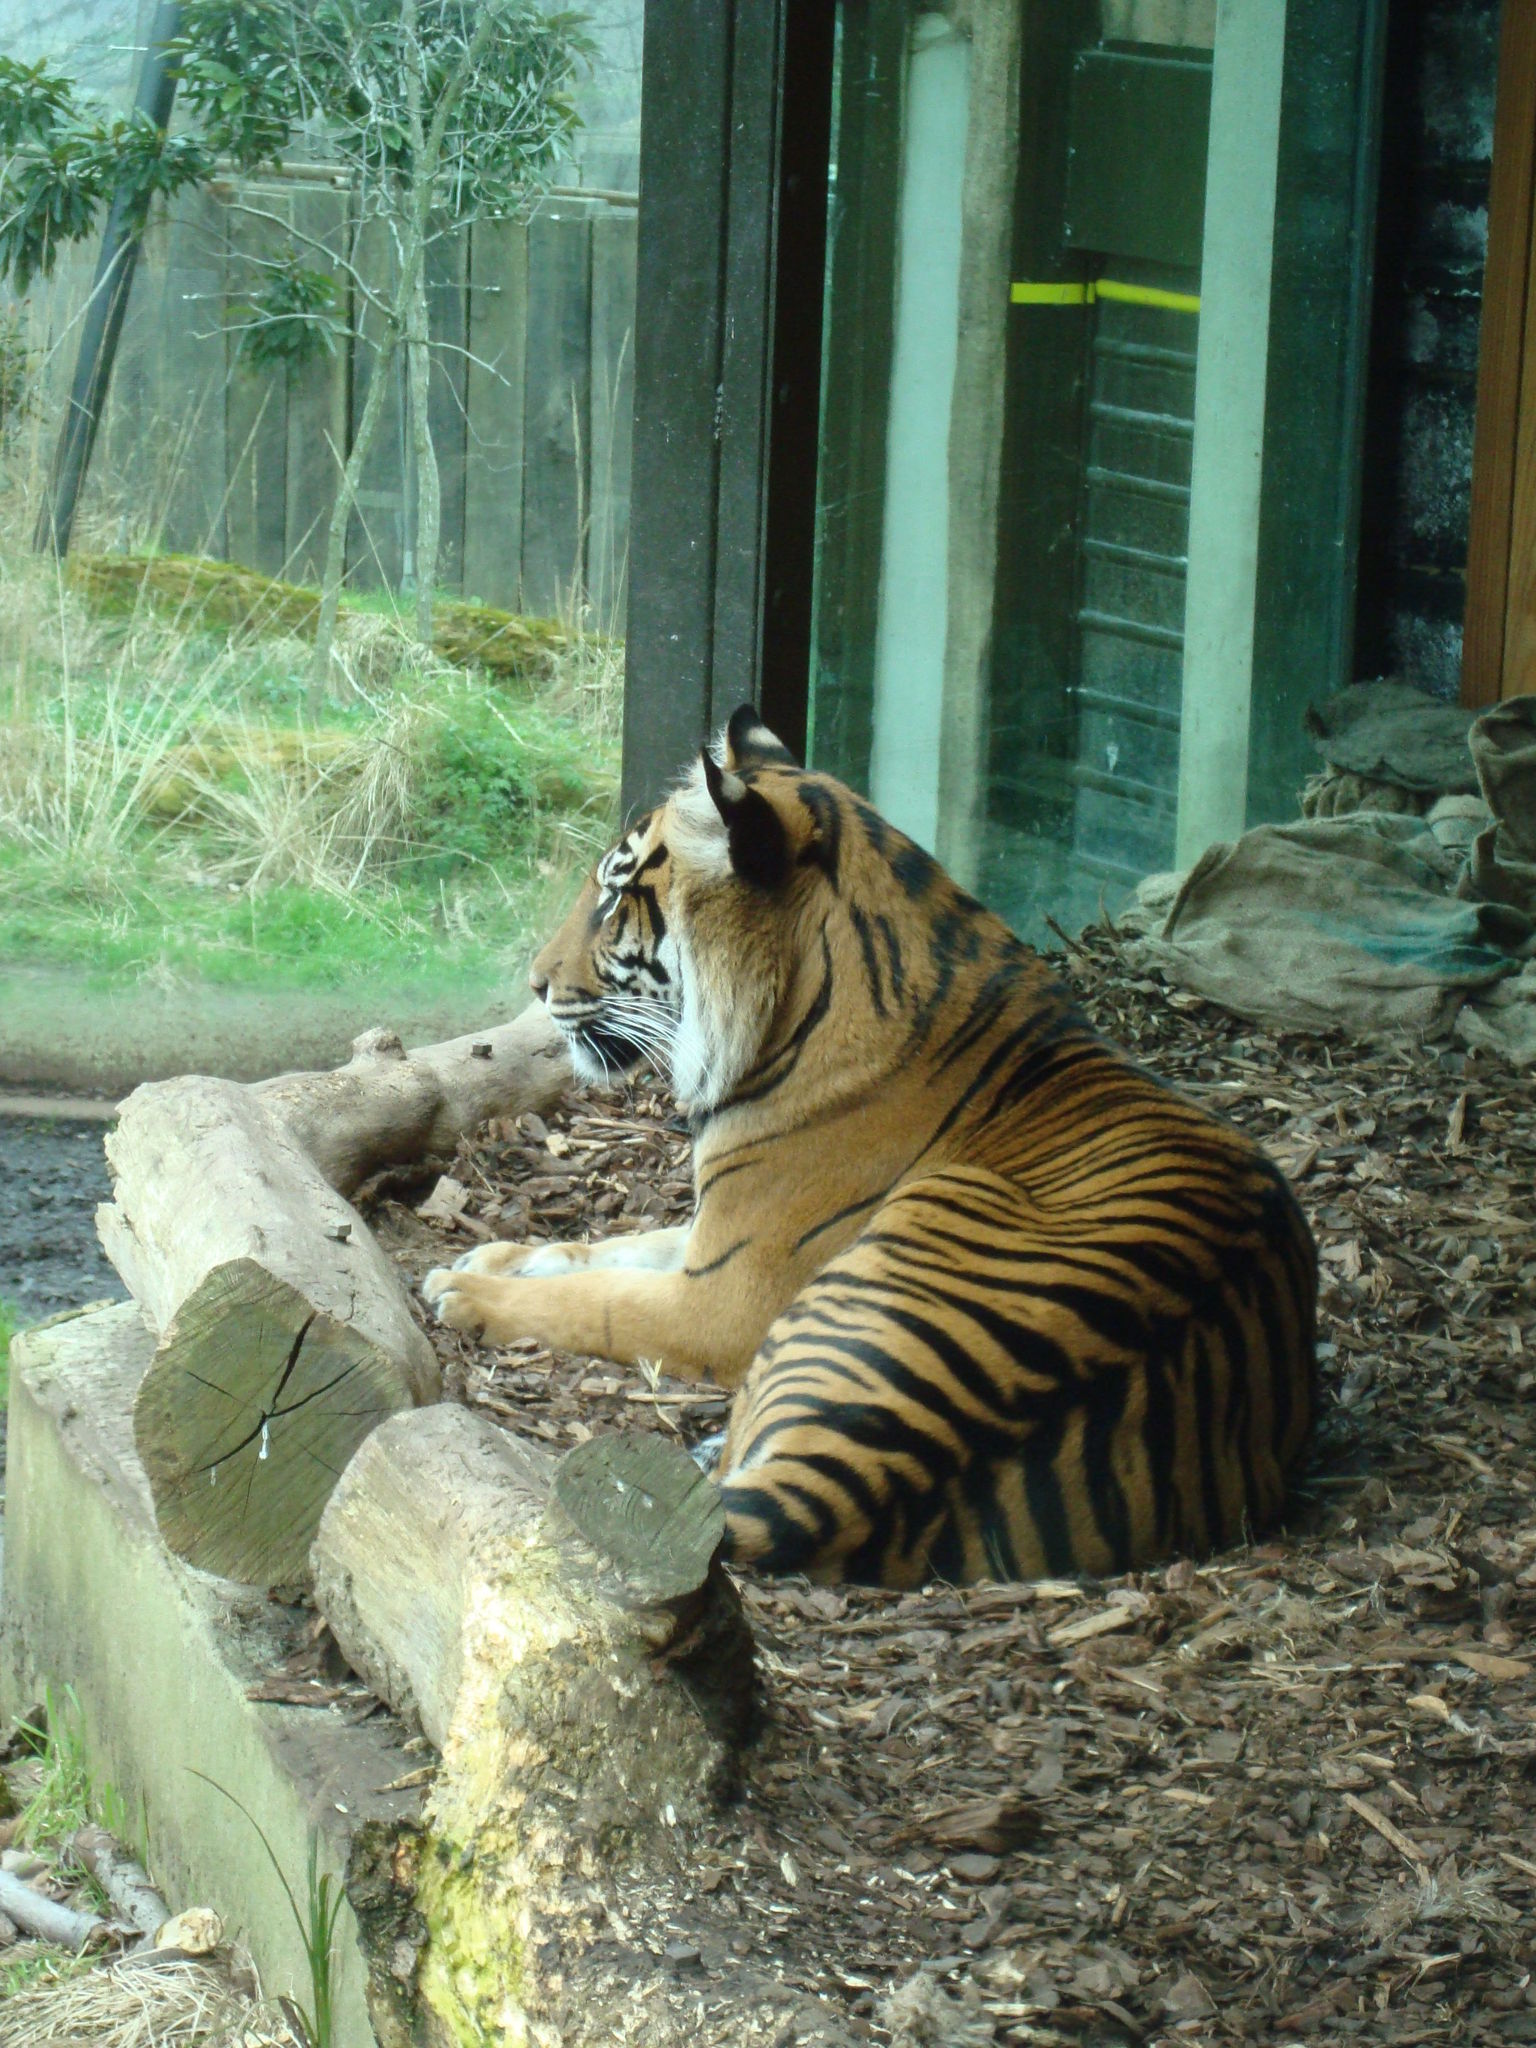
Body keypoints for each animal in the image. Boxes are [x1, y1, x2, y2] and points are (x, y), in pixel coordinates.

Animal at [423, 704, 1327, 1581]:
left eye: (614, 901)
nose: (536, 983)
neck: (798, 1009)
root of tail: (869, 1469)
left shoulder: (729, 1293)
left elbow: (602, 1296)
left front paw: (467, 1293)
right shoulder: (716, 1236)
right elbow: (609, 1246)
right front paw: (487, 1257)